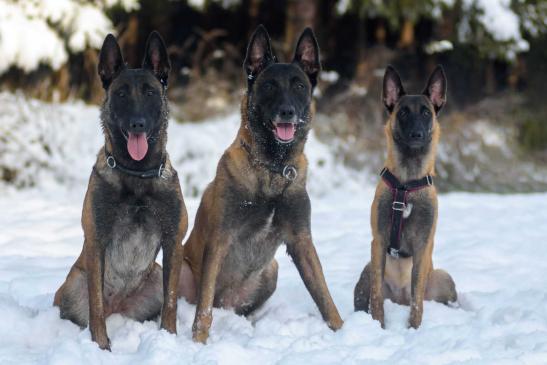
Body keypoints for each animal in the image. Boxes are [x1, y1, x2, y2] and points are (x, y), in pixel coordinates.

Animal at [54, 32, 188, 350]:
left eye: (150, 92)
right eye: (122, 94)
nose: (137, 123)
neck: (136, 173)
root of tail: (119, 307)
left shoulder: (173, 241)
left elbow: (172, 303)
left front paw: (169, 338)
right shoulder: (97, 241)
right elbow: (95, 306)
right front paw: (101, 346)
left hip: (154, 279)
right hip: (73, 287)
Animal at [178, 24, 344, 342]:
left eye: (299, 86)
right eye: (269, 86)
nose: (287, 112)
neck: (273, 168)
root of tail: (227, 303)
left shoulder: (301, 240)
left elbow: (324, 295)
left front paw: (341, 330)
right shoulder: (219, 240)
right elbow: (203, 311)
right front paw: (199, 342)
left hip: (271, 270)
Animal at [356, 64, 458, 328]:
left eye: (426, 113)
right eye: (402, 113)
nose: (416, 134)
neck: (406, 184)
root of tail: (398, 299)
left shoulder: (423, 246)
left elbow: (417, 300)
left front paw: (414, 328)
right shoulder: (379, 242)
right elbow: (377, 297)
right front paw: (378, 326)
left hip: (443, 278)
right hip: (366, 272)